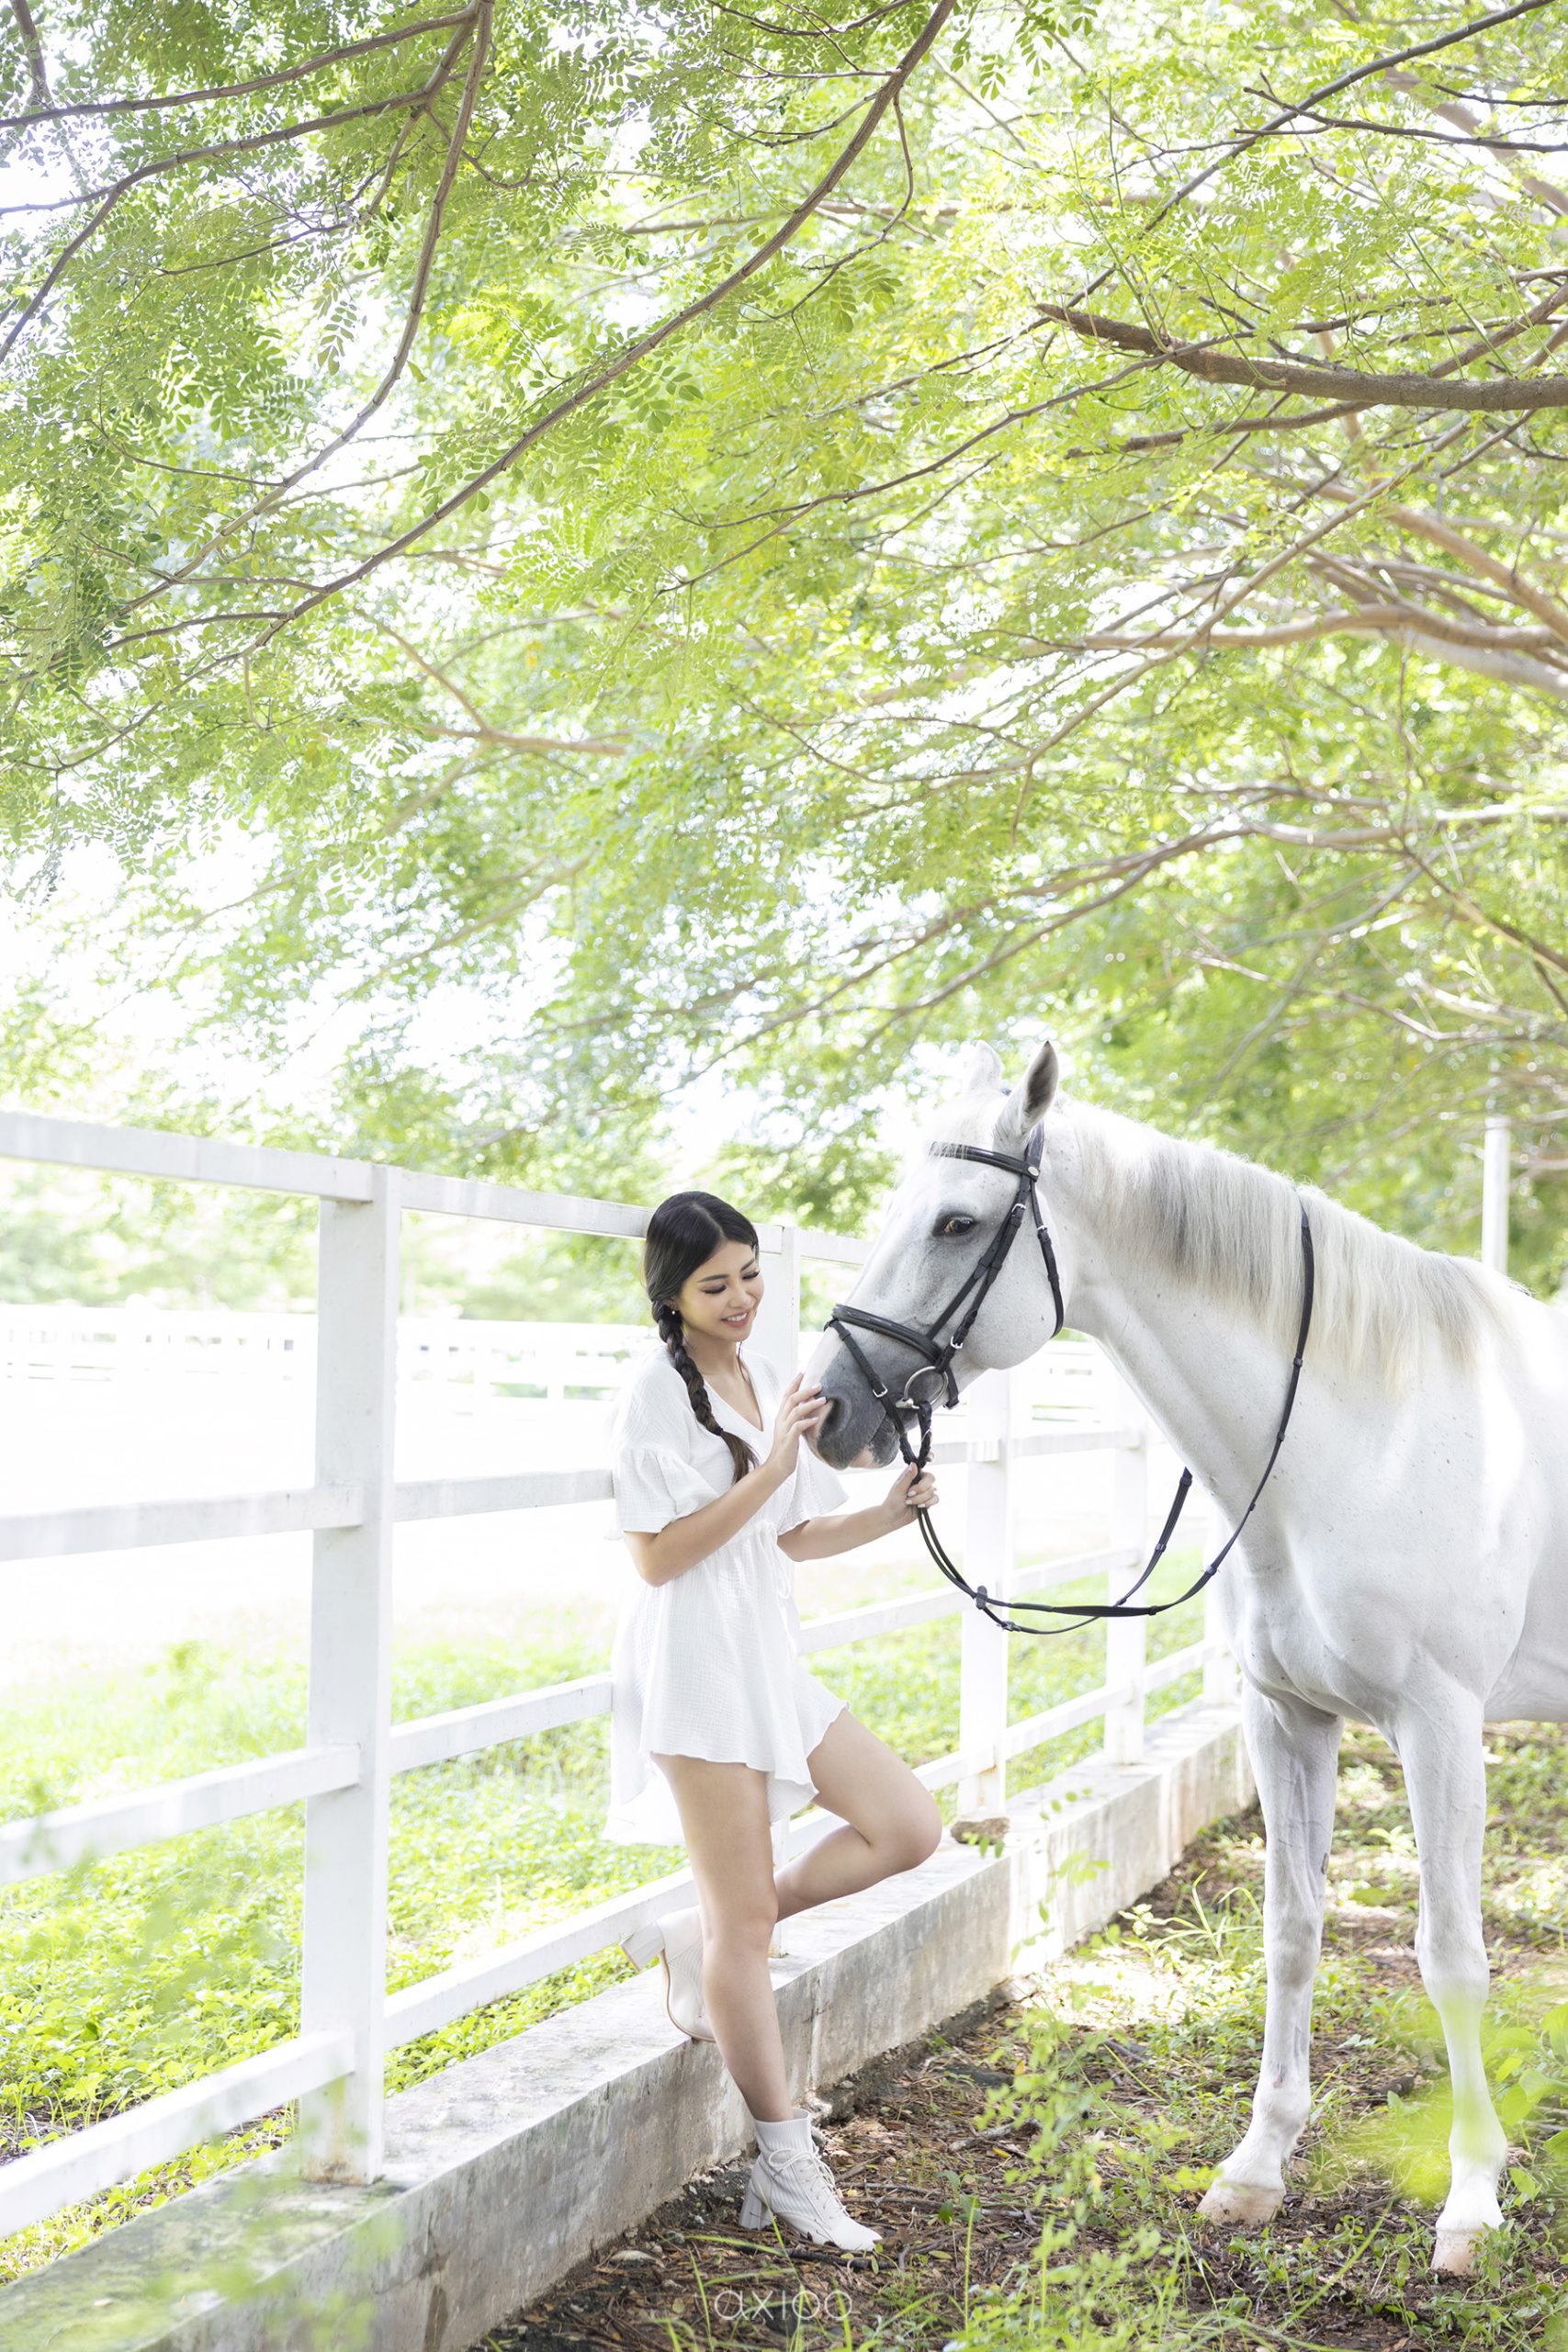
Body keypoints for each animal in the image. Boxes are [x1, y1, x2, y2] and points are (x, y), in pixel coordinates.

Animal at [805, 1037, 1568, 2275]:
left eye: (958, 1222)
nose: (828, 1409)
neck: (1373, 1433)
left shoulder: (1443, 1727)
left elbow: (1450, 1951)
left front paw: (1469, 2201)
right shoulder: (1286, 1716)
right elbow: (1293, 1930)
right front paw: (1256, 2170)